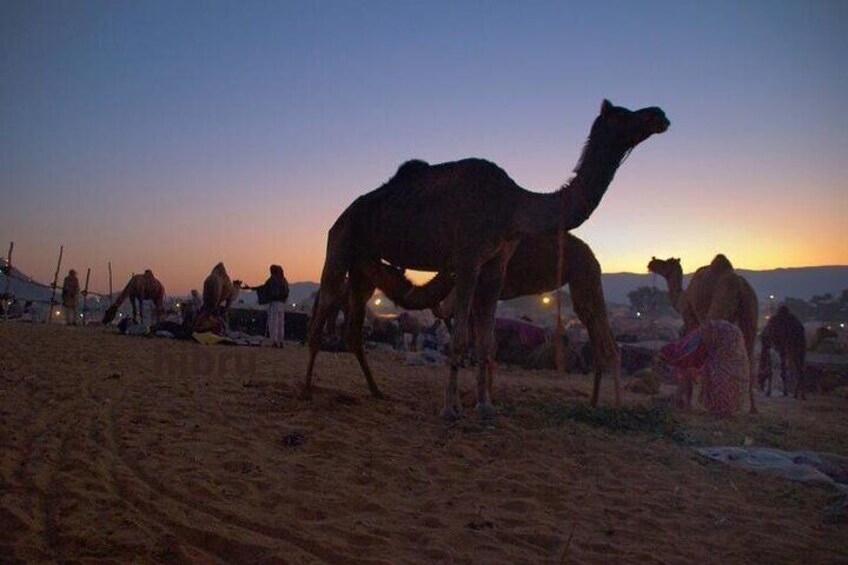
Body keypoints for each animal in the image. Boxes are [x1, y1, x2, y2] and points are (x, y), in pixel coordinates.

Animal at [304, 99, 668, 418]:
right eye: (623, 115)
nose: (659, 115)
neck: (514, 205)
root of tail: (343, 214)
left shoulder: (496, 264)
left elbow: (487, 341)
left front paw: (485, 406)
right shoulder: (467, 258)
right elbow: (460, 338)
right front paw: (450, 409)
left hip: (363, 265)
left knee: (353, 331)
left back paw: (376, 390)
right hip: (340, 244)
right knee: (323, 309)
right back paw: (306, 388)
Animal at [644, 253, 760, 412]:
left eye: (666, 262)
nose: (651, 262)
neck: (682, 298)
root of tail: (740, 287)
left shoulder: (690, 319)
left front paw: (686, 401)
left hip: (718, 307)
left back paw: (714, 403)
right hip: (750, 313)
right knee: (750, 354)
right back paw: (752, 408)